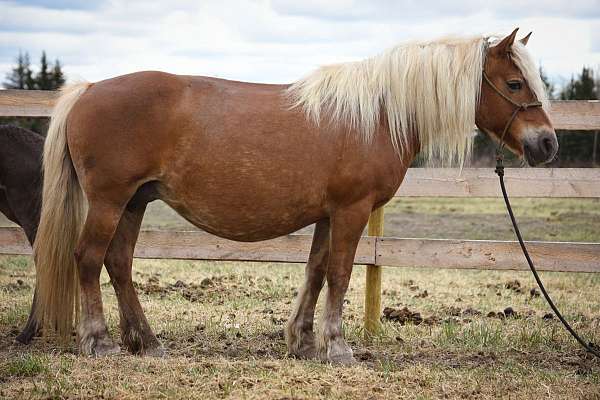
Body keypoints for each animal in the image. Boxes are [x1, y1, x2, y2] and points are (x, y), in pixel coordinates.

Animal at [34, 29, 556, 362]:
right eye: (514, 83)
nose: (548, 144)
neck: (378, 114)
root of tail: (88, 89)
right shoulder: (352, 210)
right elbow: (341, 273)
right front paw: (337, 346)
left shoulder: (328, 214)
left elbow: (317, 271)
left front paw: (302, 341)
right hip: (109, 201)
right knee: (88, 258)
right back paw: (100, 340)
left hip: (134, 203)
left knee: (118, 263)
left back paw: (146, 341)